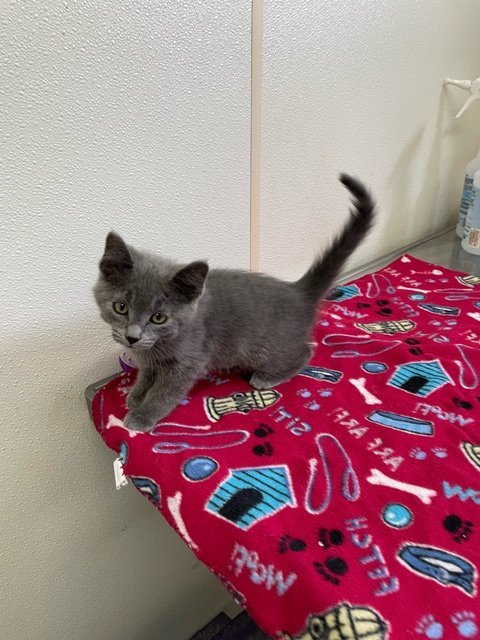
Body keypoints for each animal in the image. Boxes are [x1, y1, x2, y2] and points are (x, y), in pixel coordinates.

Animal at [94, 175, 376, 430]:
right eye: (121, 307)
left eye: (158, 317)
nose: (132, 337)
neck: (158, 345)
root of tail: (298, 291)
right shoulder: (149, 359)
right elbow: (147, 375)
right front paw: (136, 395)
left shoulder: (189, 362)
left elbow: (165, 392)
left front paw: (143, 415)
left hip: (269, 350)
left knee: (305, 352)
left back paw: (266, 378)